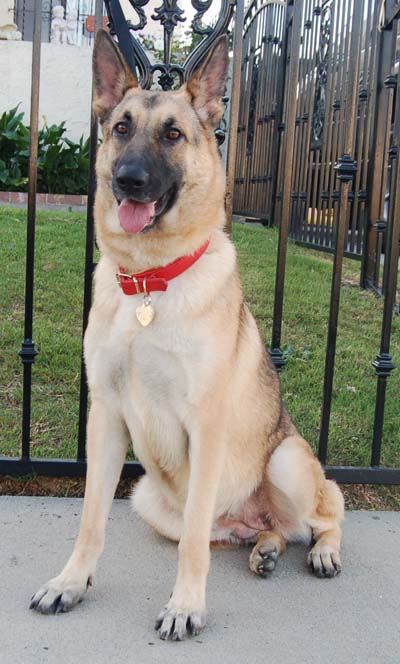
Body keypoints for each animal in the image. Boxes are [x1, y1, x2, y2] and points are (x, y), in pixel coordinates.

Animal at [30, 29, 344, 640]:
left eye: (173, 134)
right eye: (121, 128)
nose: (126, 180)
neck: (150, 283)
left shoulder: (206, 427)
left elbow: (194, 545)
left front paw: (185, 606)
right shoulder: (105, 417)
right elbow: (91, 522)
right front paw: (70, 583)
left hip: (287, 461)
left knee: (324, 514)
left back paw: (321, 549)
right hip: (147, 498)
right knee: (260, 530)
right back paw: (265, 548)